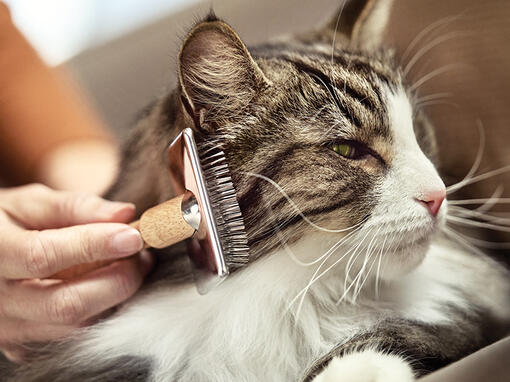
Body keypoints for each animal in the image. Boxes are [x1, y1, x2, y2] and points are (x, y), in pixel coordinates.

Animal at [1, 0, 508, 382]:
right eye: (347, 149)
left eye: (416, 131)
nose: (438, 196)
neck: (287, 298)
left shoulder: (474, 315)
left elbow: (403, 335)